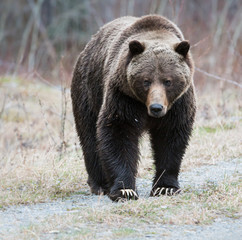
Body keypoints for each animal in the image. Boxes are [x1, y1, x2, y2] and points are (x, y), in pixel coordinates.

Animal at [71, 15, 196, 202]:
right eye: (146, 80)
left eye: (168, 81)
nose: (156, 107)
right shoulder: (123, 96)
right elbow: (118, 133)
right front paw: (125, 190)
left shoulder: (178, 104)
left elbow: (171, 139)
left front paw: (165, 187)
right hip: (88, 91)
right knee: (89, 137)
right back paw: (100, 184)